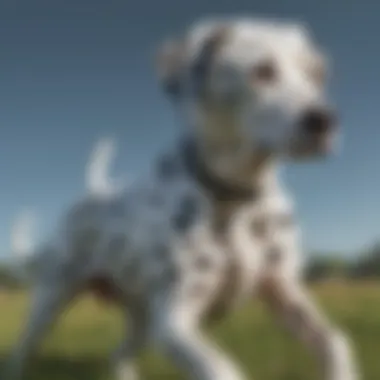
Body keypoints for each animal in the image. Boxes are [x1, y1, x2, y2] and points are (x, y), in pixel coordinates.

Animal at [5, 16, 360, 378]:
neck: (238, 199)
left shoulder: (285, 293)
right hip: (51, 301)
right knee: (22, 349)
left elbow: (334, 341)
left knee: (119, 353)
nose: (326, 121)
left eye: (316, 75)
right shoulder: (174, 323)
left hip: (142, 319)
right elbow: (221, 369)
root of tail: (94, 192)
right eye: (262, 71)